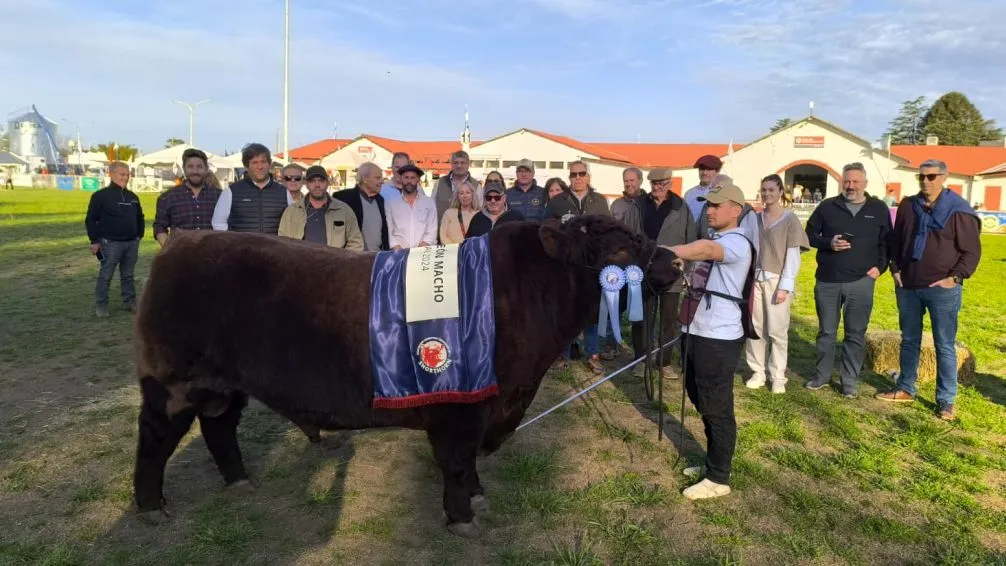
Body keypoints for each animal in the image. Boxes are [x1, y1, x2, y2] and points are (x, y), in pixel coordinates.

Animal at [133, 215, 680, 538]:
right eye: (620, 249)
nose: (675, 261)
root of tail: (183, 241)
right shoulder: (461, 410)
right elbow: (456, 463)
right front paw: (462, 517)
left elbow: (468, 466)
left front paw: (477, 497)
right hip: (172, 384)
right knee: (156, 439)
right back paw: (150, 506)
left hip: (223, 385)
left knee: (219, 426)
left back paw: (240, 481)